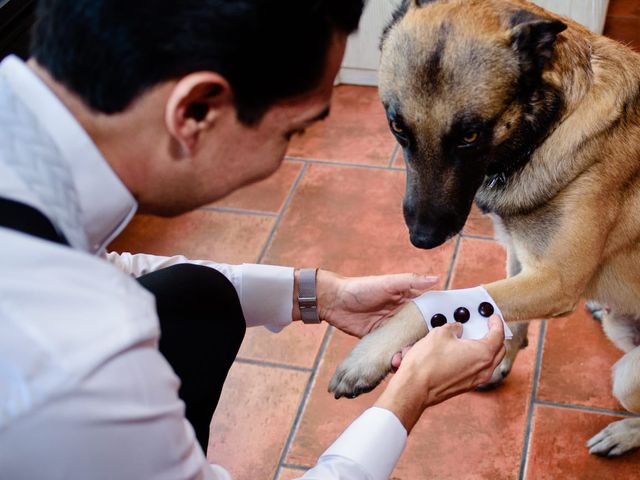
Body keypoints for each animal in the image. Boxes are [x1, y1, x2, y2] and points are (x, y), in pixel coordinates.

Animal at [330, 0, 640, 458]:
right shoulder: (522, 260)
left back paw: (623, 434)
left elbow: (435, 298)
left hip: (628, 378)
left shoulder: (554, 282)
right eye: (398, 128)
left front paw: (368, 355)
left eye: (470, 135)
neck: (550, 125)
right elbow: (510, 322)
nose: (422, 239)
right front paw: (502, 361)